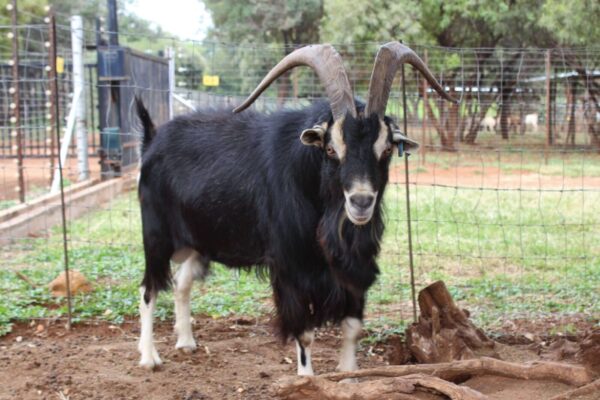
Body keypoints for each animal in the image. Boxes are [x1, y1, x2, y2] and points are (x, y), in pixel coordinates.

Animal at [137, 42, 454, 374]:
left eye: (387, 149)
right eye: (331, 149)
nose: (361, 201)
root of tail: (152, 140)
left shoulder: (353, 268)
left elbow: (352, 327)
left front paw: (348, 372)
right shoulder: (292, 269)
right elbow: (305, 333)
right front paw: (306, 376)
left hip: (199, 242)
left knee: (181, 283)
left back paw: (186, 342)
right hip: (157, 236)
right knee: (147, 290)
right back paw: (149, 357)